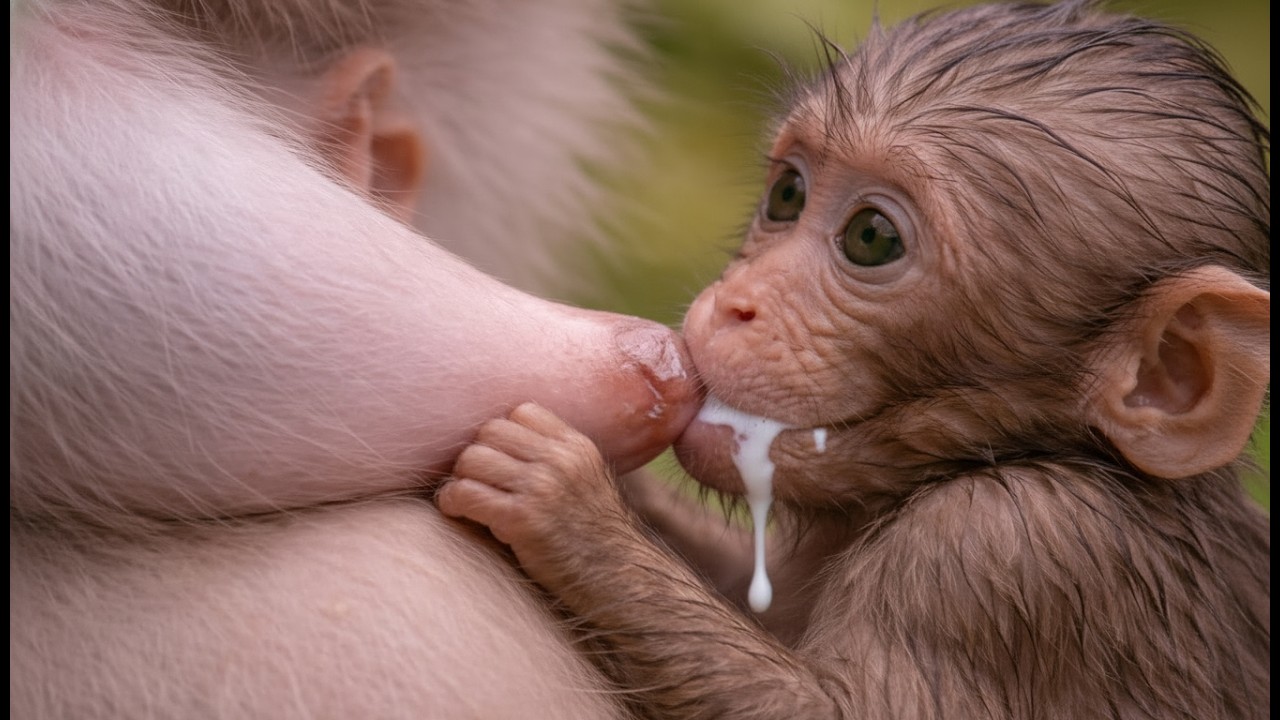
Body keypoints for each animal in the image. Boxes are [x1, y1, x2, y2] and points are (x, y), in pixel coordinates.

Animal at [437, 2, 1271, 718]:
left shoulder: (1013, 544)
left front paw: (568, 502)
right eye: (787, 194)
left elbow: (848, 711)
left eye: (872, 238)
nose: (735, 303)